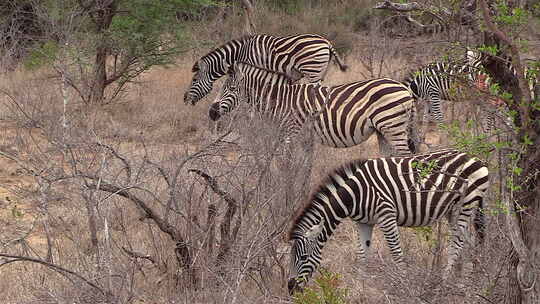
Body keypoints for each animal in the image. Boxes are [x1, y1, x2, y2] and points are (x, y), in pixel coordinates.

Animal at [184, 33, 348, 105]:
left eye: (194, 80)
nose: (184, 99)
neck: (240, 52)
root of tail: (326, 42)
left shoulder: (250, 68)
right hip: (321, 72)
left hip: (313, 71)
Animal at [210, 62, 418, 157]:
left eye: (232, 89)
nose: (211, 113)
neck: (282, 101)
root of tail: (404, 88)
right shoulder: (305, 140)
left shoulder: (291, 134)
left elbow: (287, 169)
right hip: (383, 131)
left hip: (393, 126)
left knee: (405, 157)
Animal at [288, 148, 492, 294]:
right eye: (290, 258)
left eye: (303, 258)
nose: (290, 290)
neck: (355, 194)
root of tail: (477, 159)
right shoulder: (364, 222)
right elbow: (362, 255)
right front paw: (360, 288)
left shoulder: (386, 215)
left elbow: (396, 253)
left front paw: (403, 283)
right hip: (454, 211)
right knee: (469, 242)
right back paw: (467, 279)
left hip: (466, 204)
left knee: (457, 242)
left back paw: (445, 280)